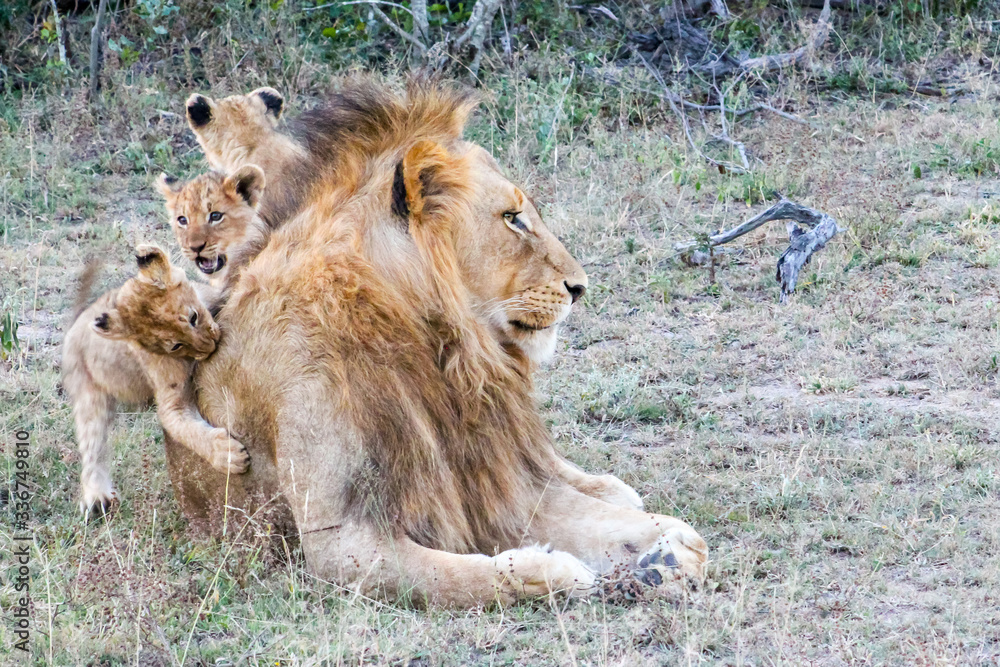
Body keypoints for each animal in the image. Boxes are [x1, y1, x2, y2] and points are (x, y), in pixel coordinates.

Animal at [62, 245, 248, 515]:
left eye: (193, 317)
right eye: (175, 346)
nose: (210, 346)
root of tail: (76, 323)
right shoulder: (171, 398)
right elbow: (186, 430)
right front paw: (228, 455)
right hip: (88, 392)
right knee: (92, 446)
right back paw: (96, 498)